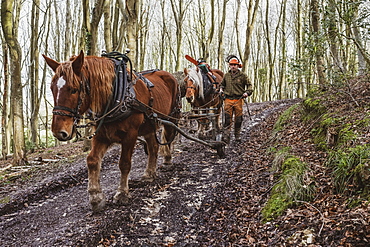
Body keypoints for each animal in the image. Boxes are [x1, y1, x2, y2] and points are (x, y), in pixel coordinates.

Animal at [43, 51, 181, 211]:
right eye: (52, 88)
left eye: (74, 89)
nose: (58, 132)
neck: (116, 96)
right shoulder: (102, 135)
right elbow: (92, 160)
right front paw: (95, 196)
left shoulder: (131, 135)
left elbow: (124, 163)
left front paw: (122, 193)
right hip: (149, 126)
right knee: (153, 147)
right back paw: (149, 174)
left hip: (171, 118)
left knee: (168, 138)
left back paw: (167, 161)